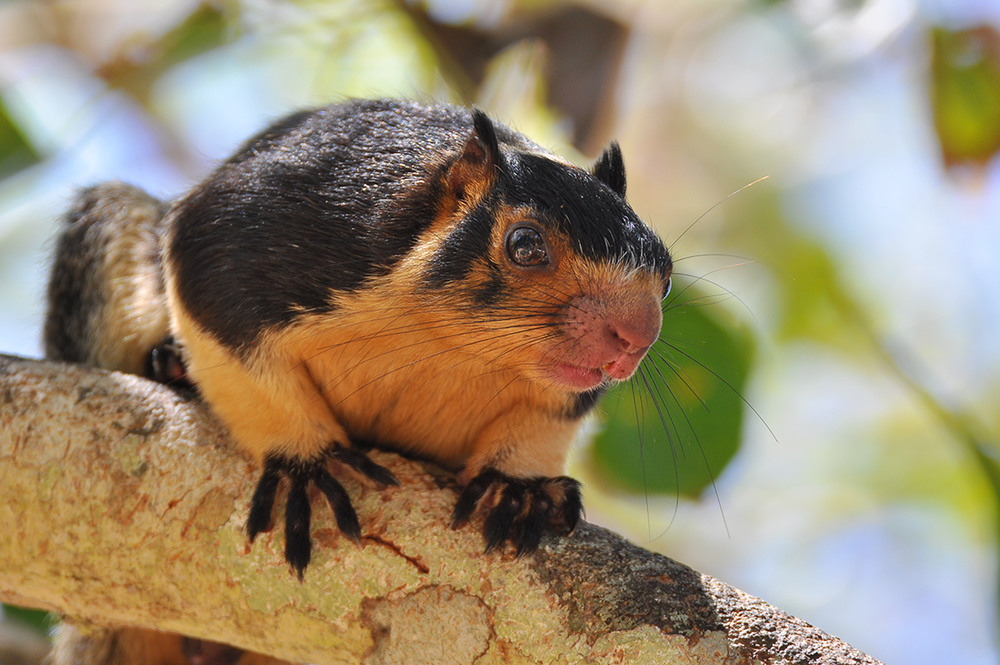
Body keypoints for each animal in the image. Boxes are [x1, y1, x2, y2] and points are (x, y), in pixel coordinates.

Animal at [43, 96, 676, 660]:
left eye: (666, 275)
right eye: (525, 245)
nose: (635, 336)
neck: (447, 342)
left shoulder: (565, 395)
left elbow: (546, 420)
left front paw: (517, 485)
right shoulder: (267, 233)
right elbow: (224, 321)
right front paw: (306, 460)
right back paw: (169, 363)